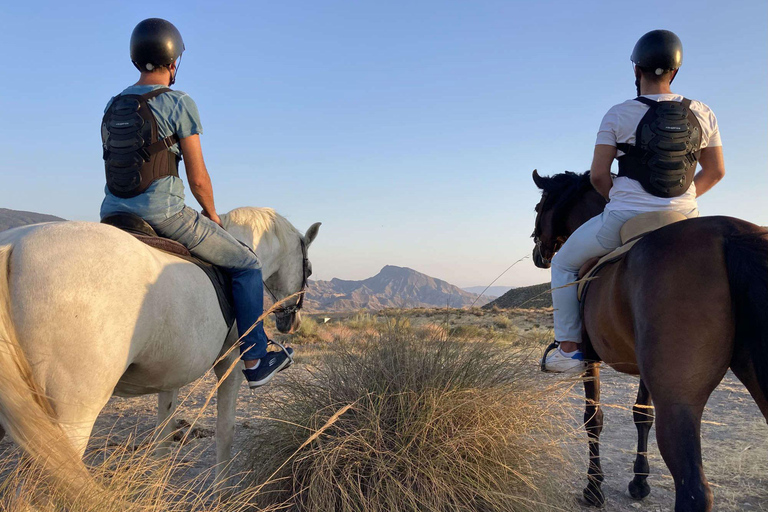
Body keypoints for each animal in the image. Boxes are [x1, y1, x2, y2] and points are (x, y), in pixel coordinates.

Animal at [0, 208, 320, 492]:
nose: (291, 322)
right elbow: (225, 431)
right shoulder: (229, 364)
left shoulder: (171, 375)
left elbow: (163, 437)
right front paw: (222, 494)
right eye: (308, 269)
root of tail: (14, 246)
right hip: (69, 418)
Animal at [532, 171, 764, 512]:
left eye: (539, 206)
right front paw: (639, 482)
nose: (539, 254)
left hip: (679, 400)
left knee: (694, 490)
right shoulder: (644, 367)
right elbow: (642, 415)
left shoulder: (590, 357)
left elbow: (593, 418)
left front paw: (593, 488)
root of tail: (729, 235)